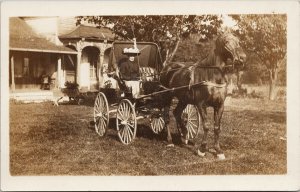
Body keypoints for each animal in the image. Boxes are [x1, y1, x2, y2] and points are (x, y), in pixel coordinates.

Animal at [159, 32, 246, 160]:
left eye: (238, 41)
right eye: (226, 41)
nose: (242, 58)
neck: (212, 75)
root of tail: (167, 67)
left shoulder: (220, 105)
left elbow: (217, 127)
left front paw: (218, 150)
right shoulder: (201, 104)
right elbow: (206, 126)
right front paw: (202, 149)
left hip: (184, 99)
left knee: (177, 112)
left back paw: (184, 135)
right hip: (166, 96)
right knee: (166, 116)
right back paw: (170, 141)